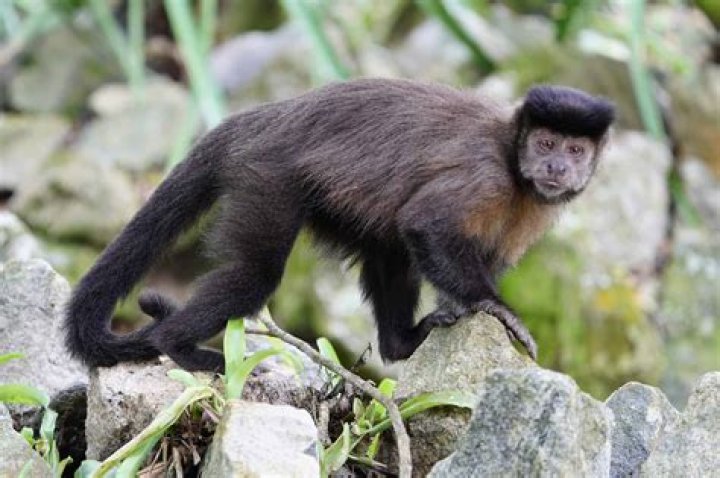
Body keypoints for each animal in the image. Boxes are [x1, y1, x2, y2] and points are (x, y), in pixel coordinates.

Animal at [64, 79, 614, 372]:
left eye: (574, 149)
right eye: (545, 143)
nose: (556, 167)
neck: (515, 163)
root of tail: (264, 117)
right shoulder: (486, 176)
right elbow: (426, 224)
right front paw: (496, 308)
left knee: (391, 253)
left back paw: (400, 344)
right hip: (266, 174)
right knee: (256, 274)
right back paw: (176, 345)